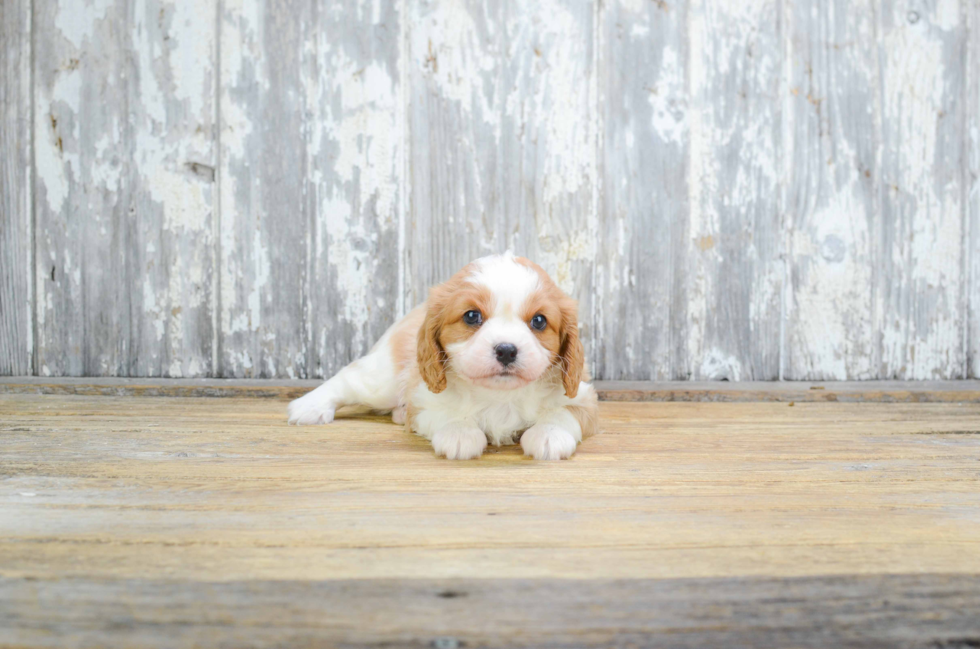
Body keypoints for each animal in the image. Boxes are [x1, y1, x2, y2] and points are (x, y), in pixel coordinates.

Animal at [286, 251, 596, 458]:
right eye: (471, 316)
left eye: (539, 321)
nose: (507, 350)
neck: (499, 396)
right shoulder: (423, 398)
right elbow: (445, 413)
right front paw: (460, 432)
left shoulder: (581, 397)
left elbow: (562, 413)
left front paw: (549, 434)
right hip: (383, 379)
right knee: (348, 378)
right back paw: (310, 406)